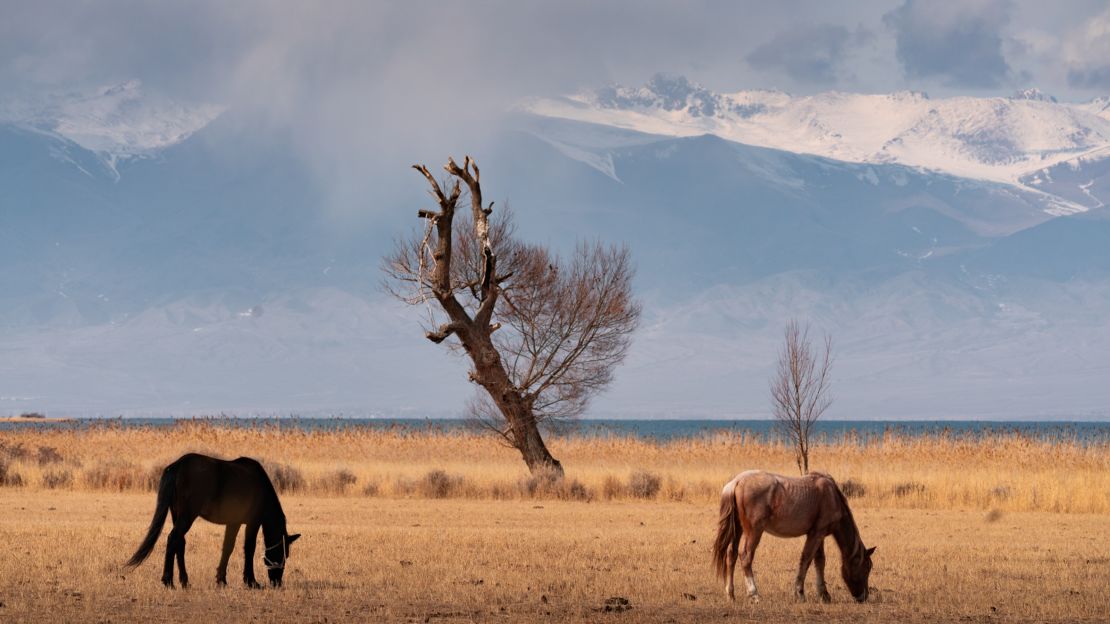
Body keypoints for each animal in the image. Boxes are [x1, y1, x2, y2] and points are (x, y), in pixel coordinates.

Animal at [127, 450, 299, 586]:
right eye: (283, 554)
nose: (277, 582)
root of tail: (177, 466)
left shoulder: (234, 522)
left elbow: (227, 547)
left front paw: (221, 579)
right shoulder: (253, 522)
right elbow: (249, 548)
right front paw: (251, 581)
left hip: (177, 514)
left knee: (179, 543)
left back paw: (185, 581)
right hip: (187, 516)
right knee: (173, 538)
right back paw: (168, 580)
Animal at [710, 470, 874, 599]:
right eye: (866, 567)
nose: (863, 596)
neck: (831, 495)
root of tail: (736, 482)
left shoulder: (818, 535)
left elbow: (819, 561)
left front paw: (824, 594)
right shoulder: (816, 534)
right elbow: (806, 560)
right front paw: (799, 592)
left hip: (738, 530)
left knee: (731, 555)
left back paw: (730, 594)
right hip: (754, 531)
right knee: (745, 556)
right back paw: (754, 594)